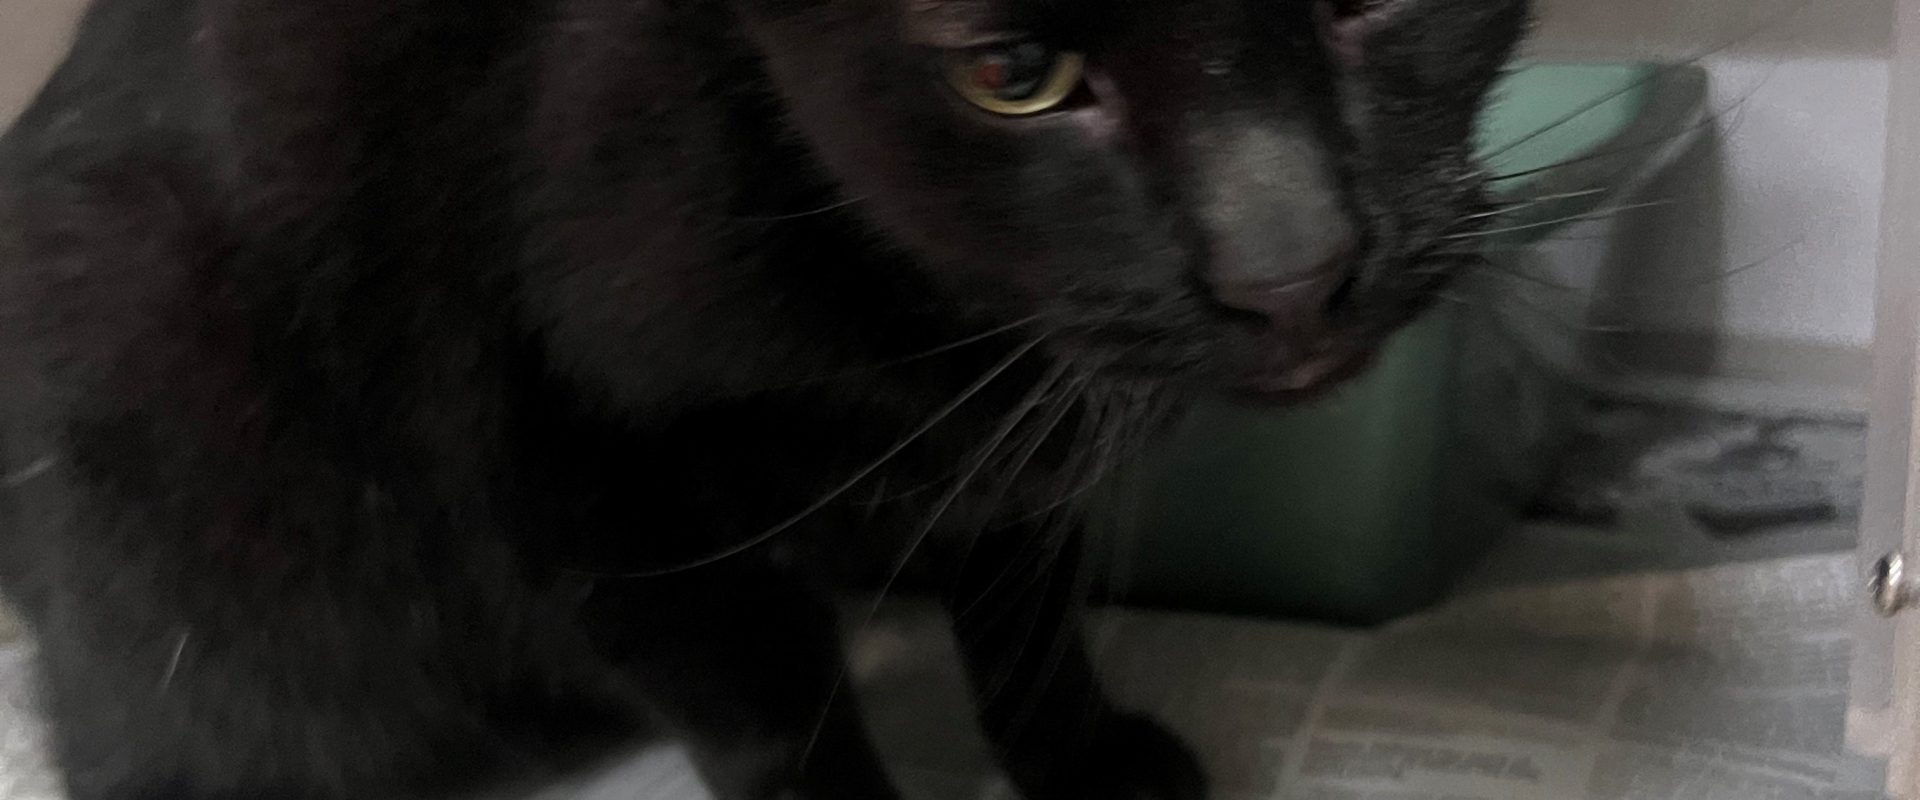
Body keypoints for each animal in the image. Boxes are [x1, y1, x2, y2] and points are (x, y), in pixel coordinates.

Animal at [0, 0, 1528, 798]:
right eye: (1013, 77)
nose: (1292, 272)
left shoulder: (1009, 448)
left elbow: (1025, 609)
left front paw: (1081, 756)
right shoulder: (589, 487)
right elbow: (777, 722)